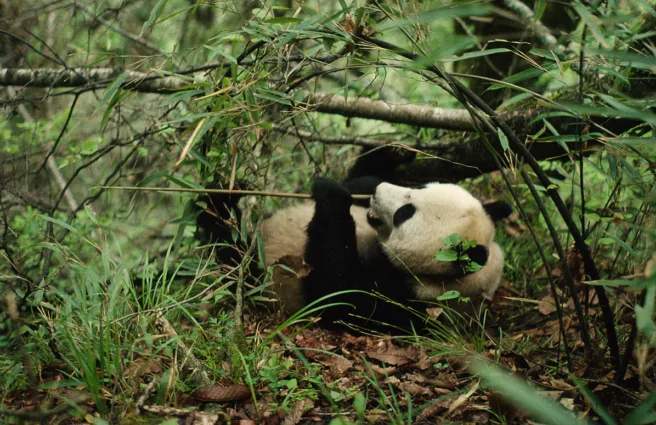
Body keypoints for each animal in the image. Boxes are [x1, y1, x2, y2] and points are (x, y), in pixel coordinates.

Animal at [198, 150, 511, 331]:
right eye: (420, 186)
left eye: (405, 213)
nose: (377, 191)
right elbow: (357, 179)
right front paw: (391, 155)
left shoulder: (407, 300)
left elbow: (336, 294)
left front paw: (332, 195)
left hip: (257, 276)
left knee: (231, 258)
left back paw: (218, 208)